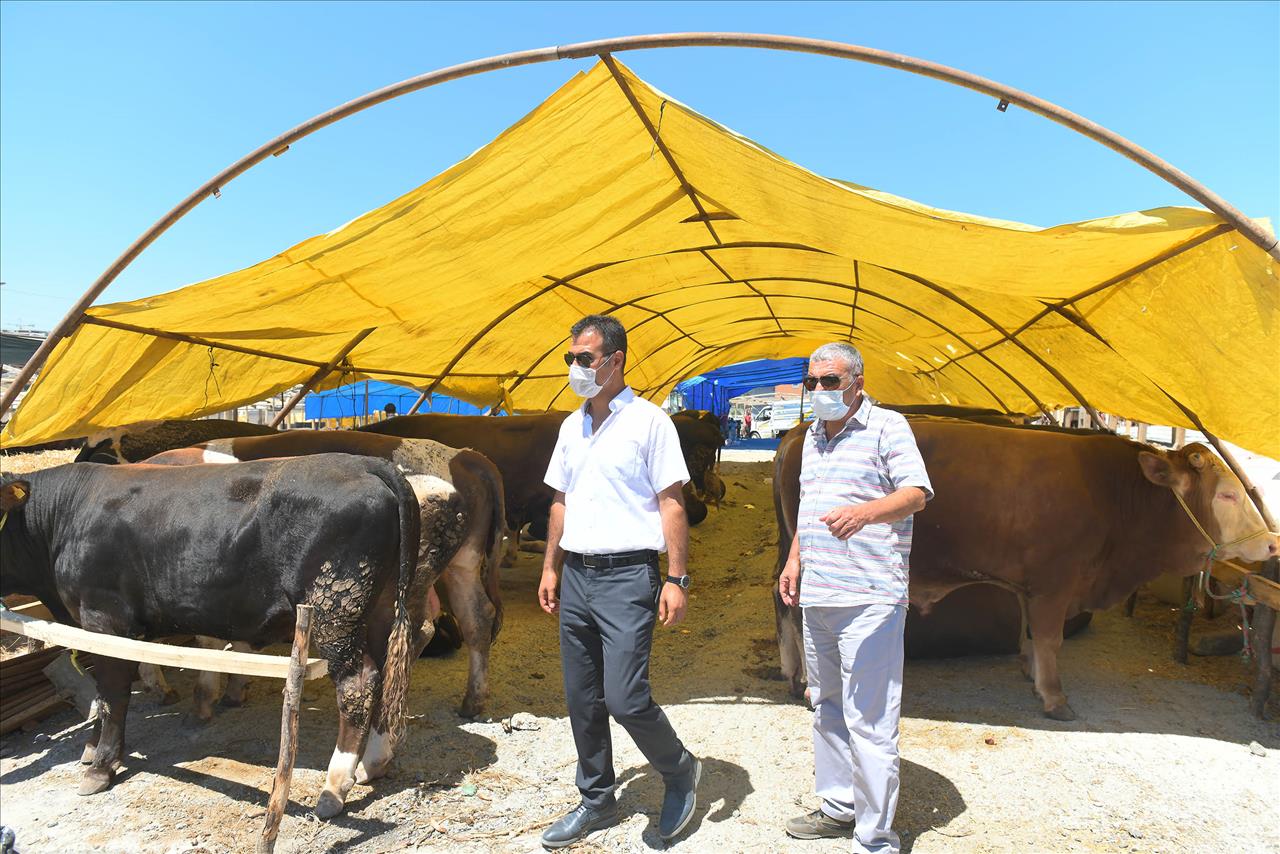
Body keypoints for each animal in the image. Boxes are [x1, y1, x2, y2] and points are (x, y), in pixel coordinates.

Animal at [0, 453, 430, 814]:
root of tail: (365, 463)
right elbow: (102, 696)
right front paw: (92, 749)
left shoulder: (105, 618)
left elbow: (113, 696)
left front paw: (101, 766)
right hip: (378, 608)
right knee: (388, 674)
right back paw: (373, 762)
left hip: (334, 609)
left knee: (359, 683)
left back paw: (334, 785)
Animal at [147, 430, 506, 717]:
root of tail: (465, 455)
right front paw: (231, 691)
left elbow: (202, 638)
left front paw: (191, 698)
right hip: (463, 563)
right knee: (477, 618)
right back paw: (472, 703)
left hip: (414, 573)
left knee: (417, 630)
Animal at [773, 417, 1274, 717]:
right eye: (1228, 494)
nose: (1272, 542)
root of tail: (801, 431)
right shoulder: (1055, 584)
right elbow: (1051, 639)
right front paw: (1054, 697)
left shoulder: (1030, 586)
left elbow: (1031, 635)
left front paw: (1032, 675)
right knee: (796, 613)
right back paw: (808, 684)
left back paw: (793, 675)